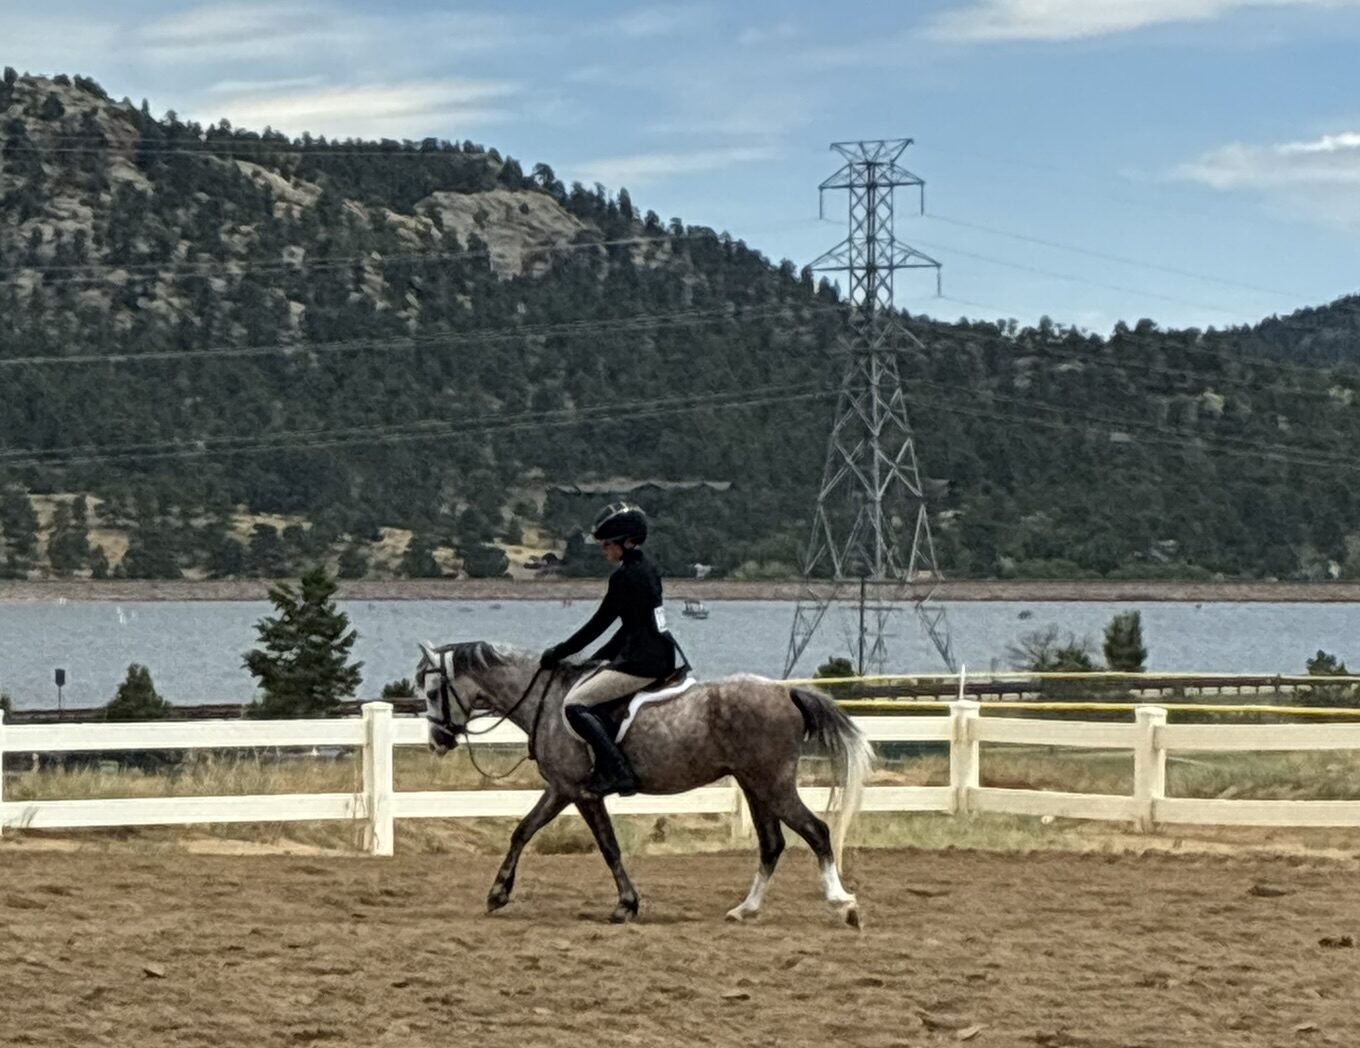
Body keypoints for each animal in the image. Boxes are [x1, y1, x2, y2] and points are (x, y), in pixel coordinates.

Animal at [416, 641, 873, 926]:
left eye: (434, 690)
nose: (438, 741)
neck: (546, 701)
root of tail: (787, 692)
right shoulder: (561, 789)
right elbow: (522, 831)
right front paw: (498, 893)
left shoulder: (578, 792)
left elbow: (608, 846)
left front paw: (626, 906)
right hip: (754, 785)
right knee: (772, 843)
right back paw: (744, 910)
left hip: (772, 783)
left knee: (816, 831)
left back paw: (843, 905)